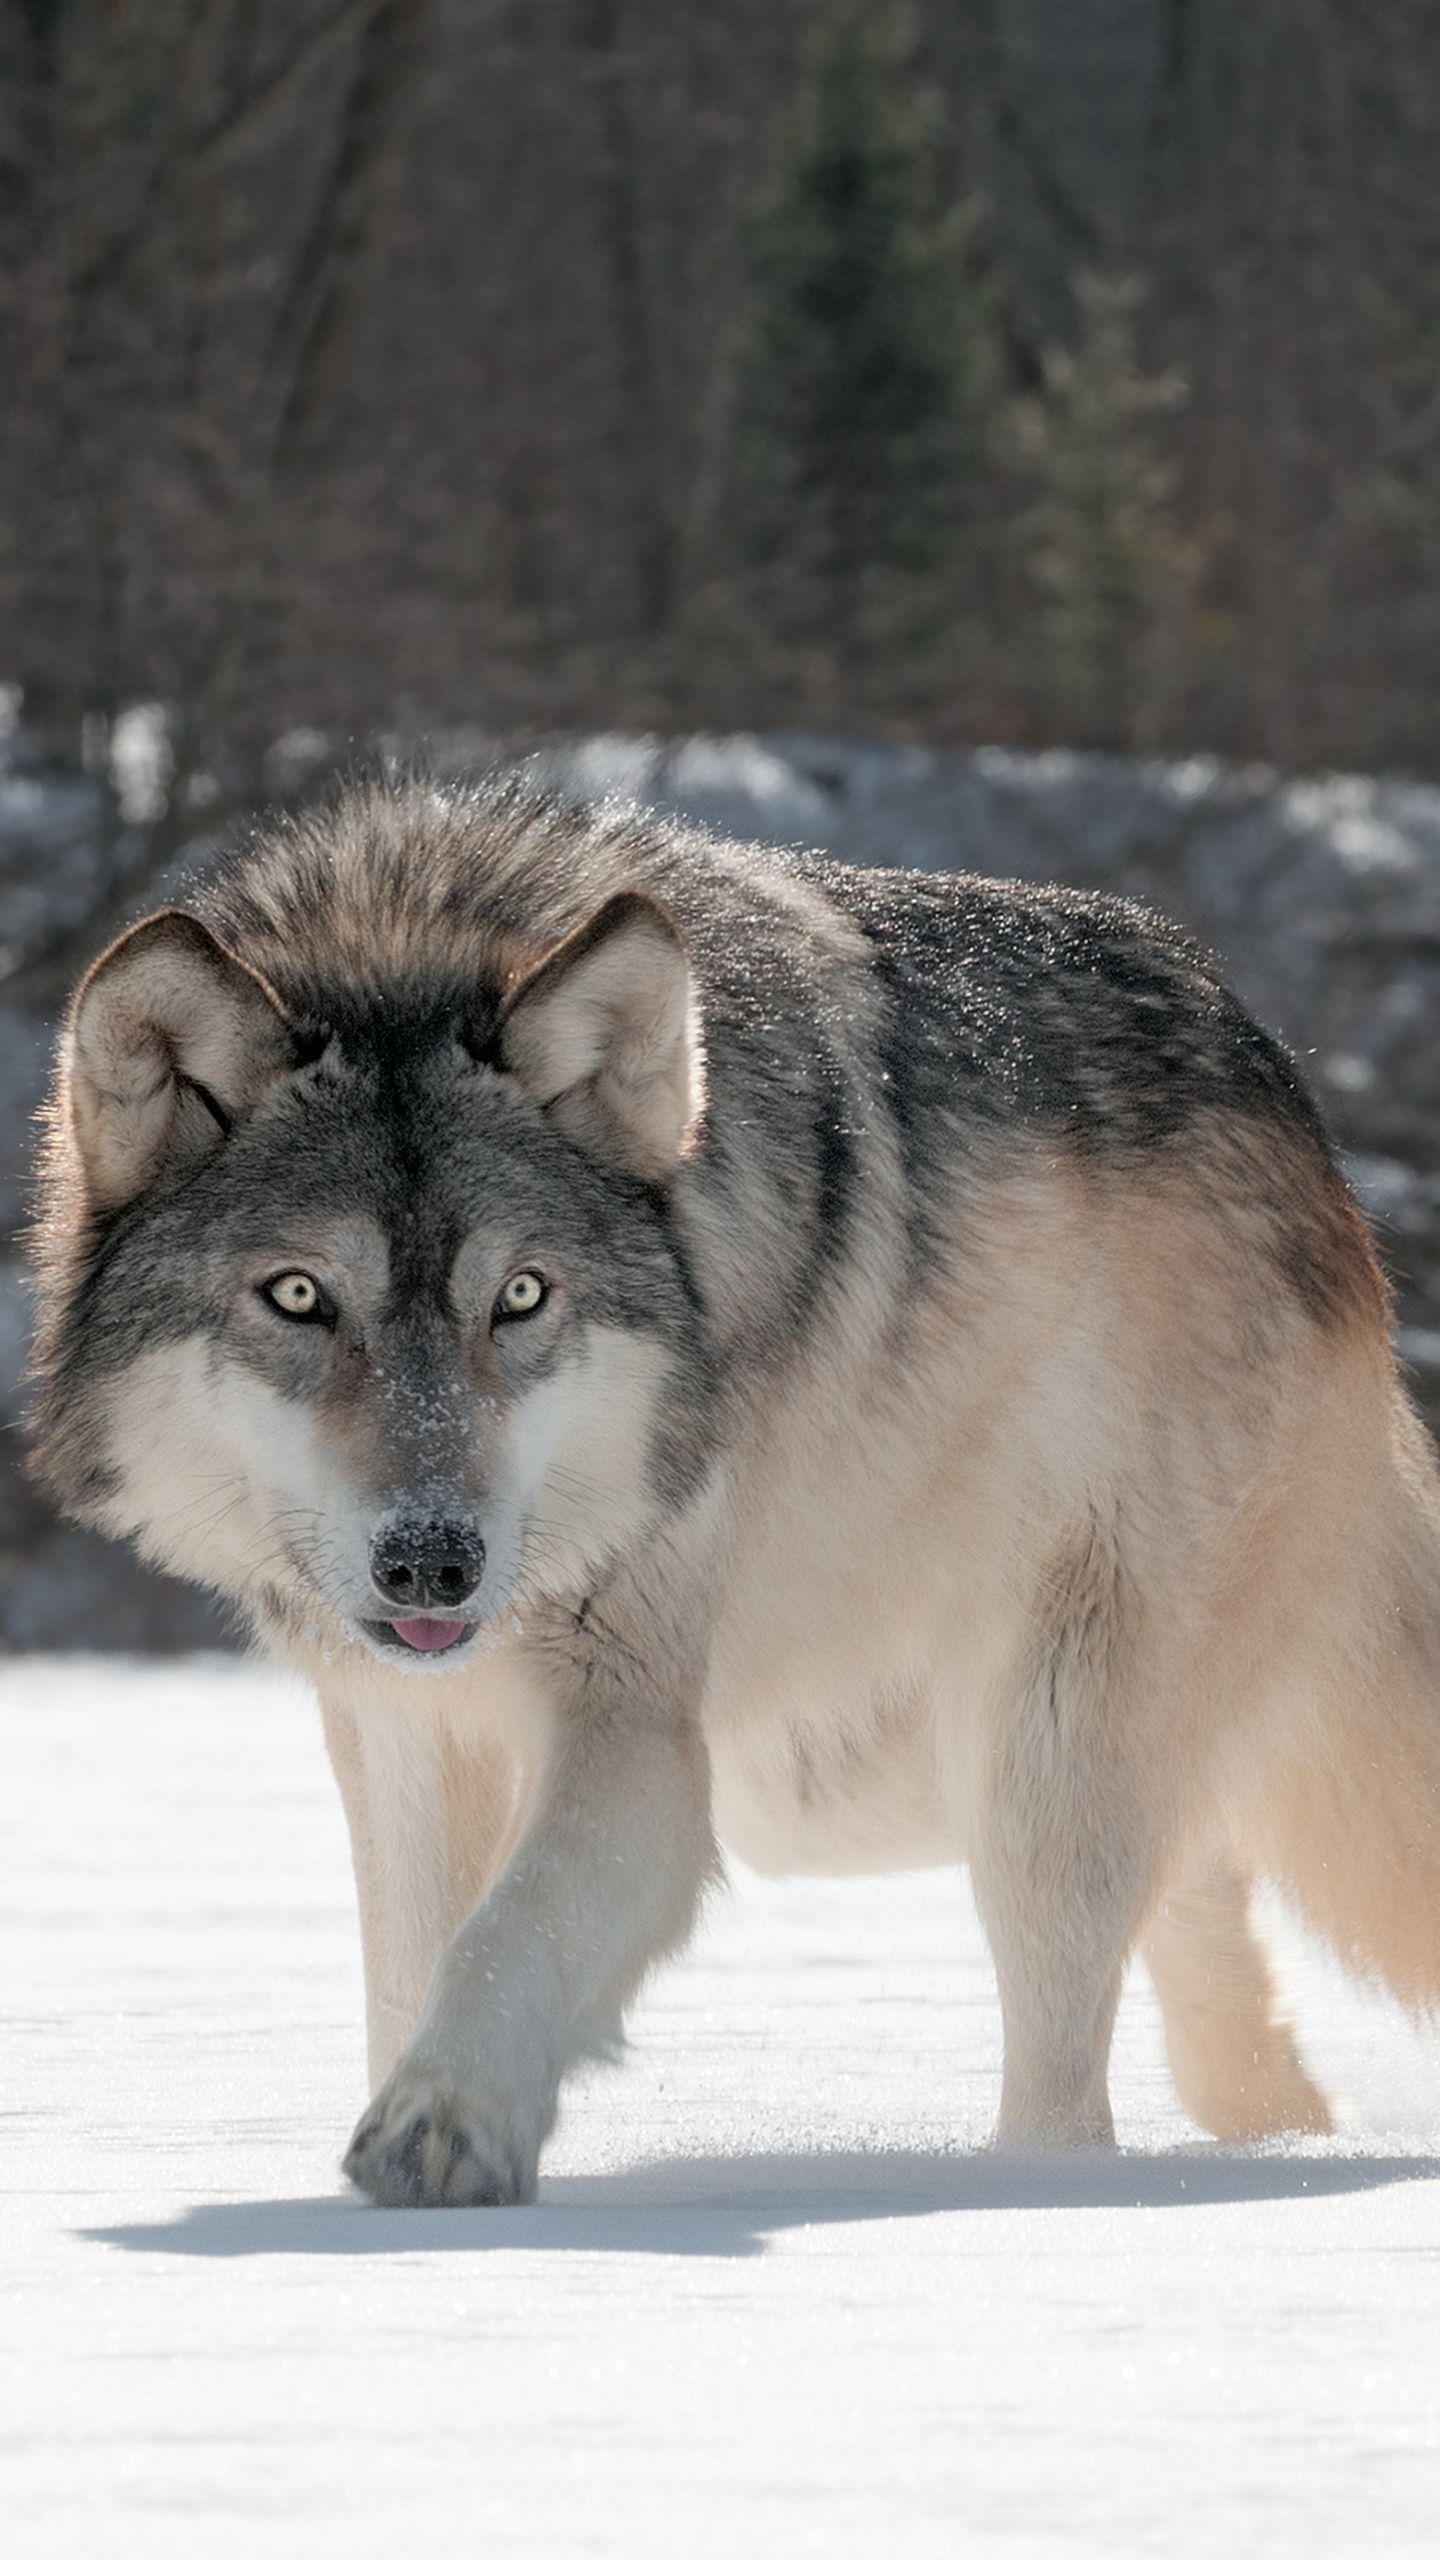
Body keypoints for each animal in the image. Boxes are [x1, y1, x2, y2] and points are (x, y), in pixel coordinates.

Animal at [27, 774, 1440, 2202]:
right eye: (299, 1296)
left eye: (521, 1295)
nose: (435, 1559)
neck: (412, 934)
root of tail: (1302, 1121)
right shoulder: (404, 1728)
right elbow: (413, 1962)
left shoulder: (637, 1729)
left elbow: (506, 1935)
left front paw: (443, 2126)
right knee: (1206, 1912)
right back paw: (1268, 2134)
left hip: (1025, 1759)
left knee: (1071, 2065)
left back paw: (1045, 2188)